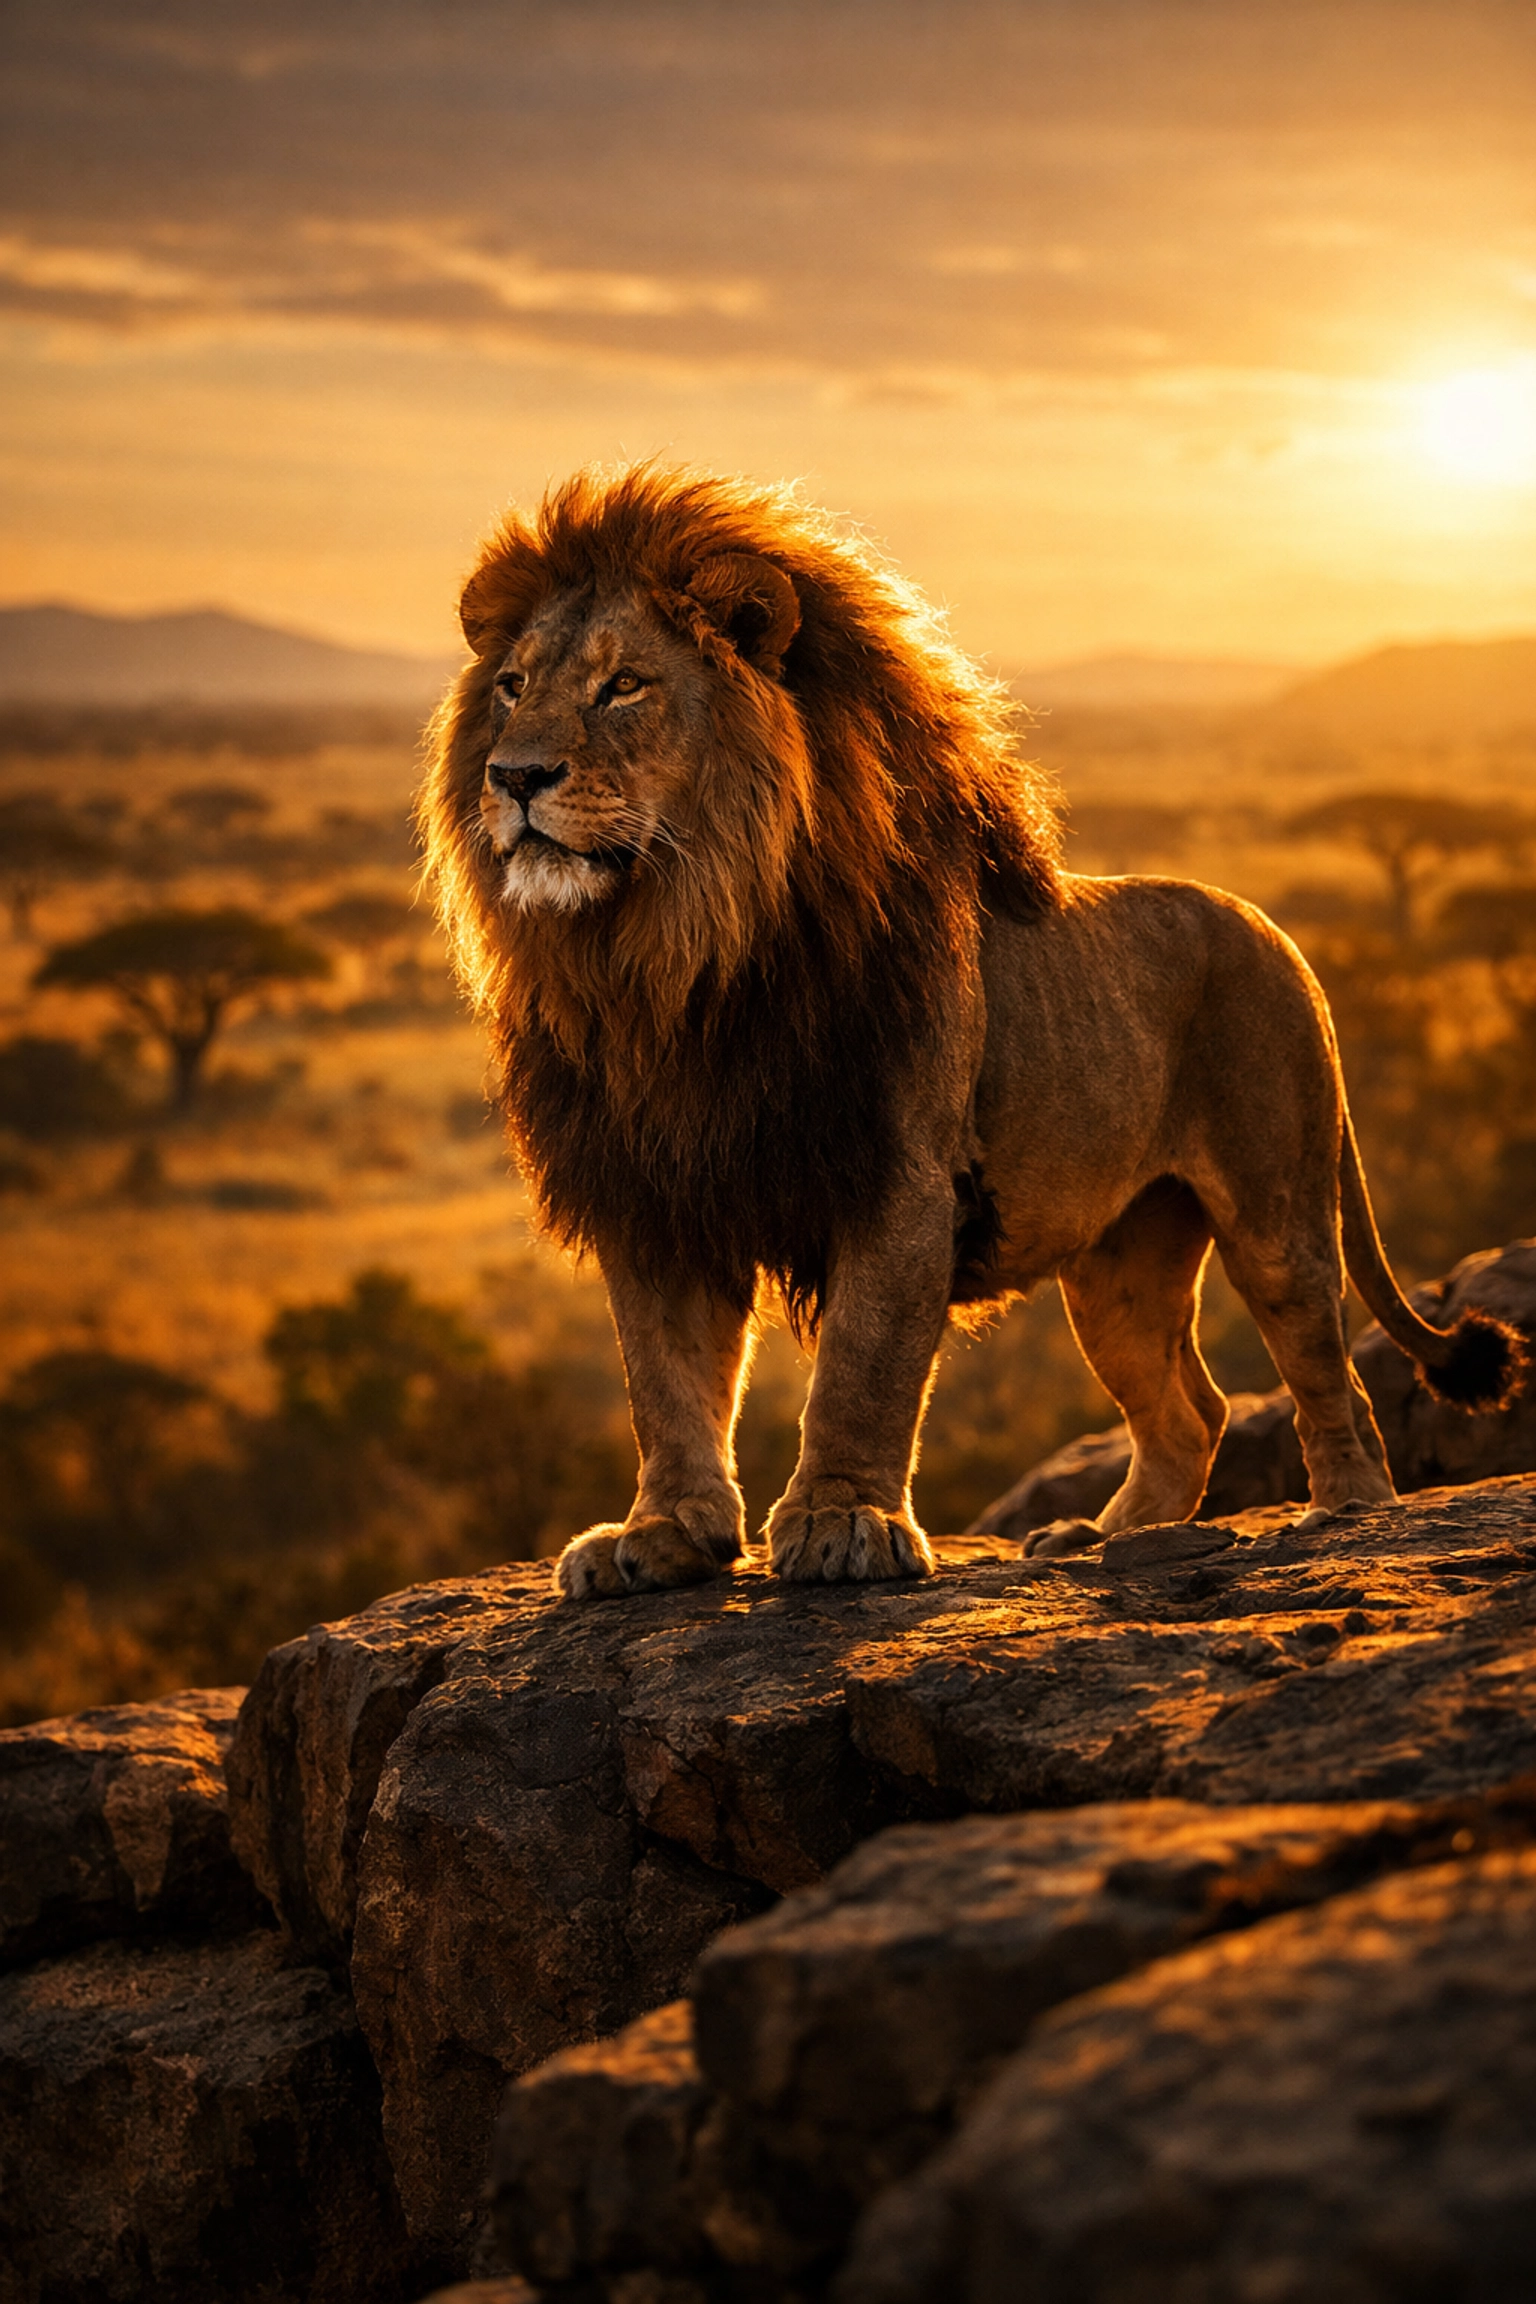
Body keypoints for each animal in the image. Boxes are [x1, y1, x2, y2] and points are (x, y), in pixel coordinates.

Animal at [418, 464, 1524, 1600]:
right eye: (513, 688)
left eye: (624, 687)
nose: (513, 777)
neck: (673, 959)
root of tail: (1274, 930)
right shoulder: (654, 1191)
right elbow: (667, 1381)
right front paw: (663, 1536)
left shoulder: (899, 1173)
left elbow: (864, 1363)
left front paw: (841, 1523)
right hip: (1120, 1262)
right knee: (1190, 1410)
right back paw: (1096, 1537)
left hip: (1275, 1203)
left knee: (1327, 1368)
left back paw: (1345, 1514)